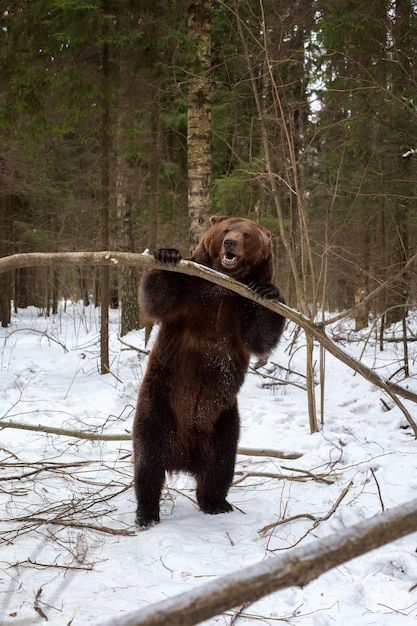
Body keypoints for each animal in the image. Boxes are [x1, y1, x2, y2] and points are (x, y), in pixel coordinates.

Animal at [132, 216, 284, 528]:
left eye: (247, 234)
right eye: (226, 229)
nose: (230, 242)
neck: (223, 286)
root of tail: (184, 456)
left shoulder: (241, 308)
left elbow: (261, 335)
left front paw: (269, 292)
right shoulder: (192, 291)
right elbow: (158, 297)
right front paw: (167, 254)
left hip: (223, 420)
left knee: (221, 465)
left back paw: (216, 503)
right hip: (158, 403)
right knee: (148, 462)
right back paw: (147, 514)